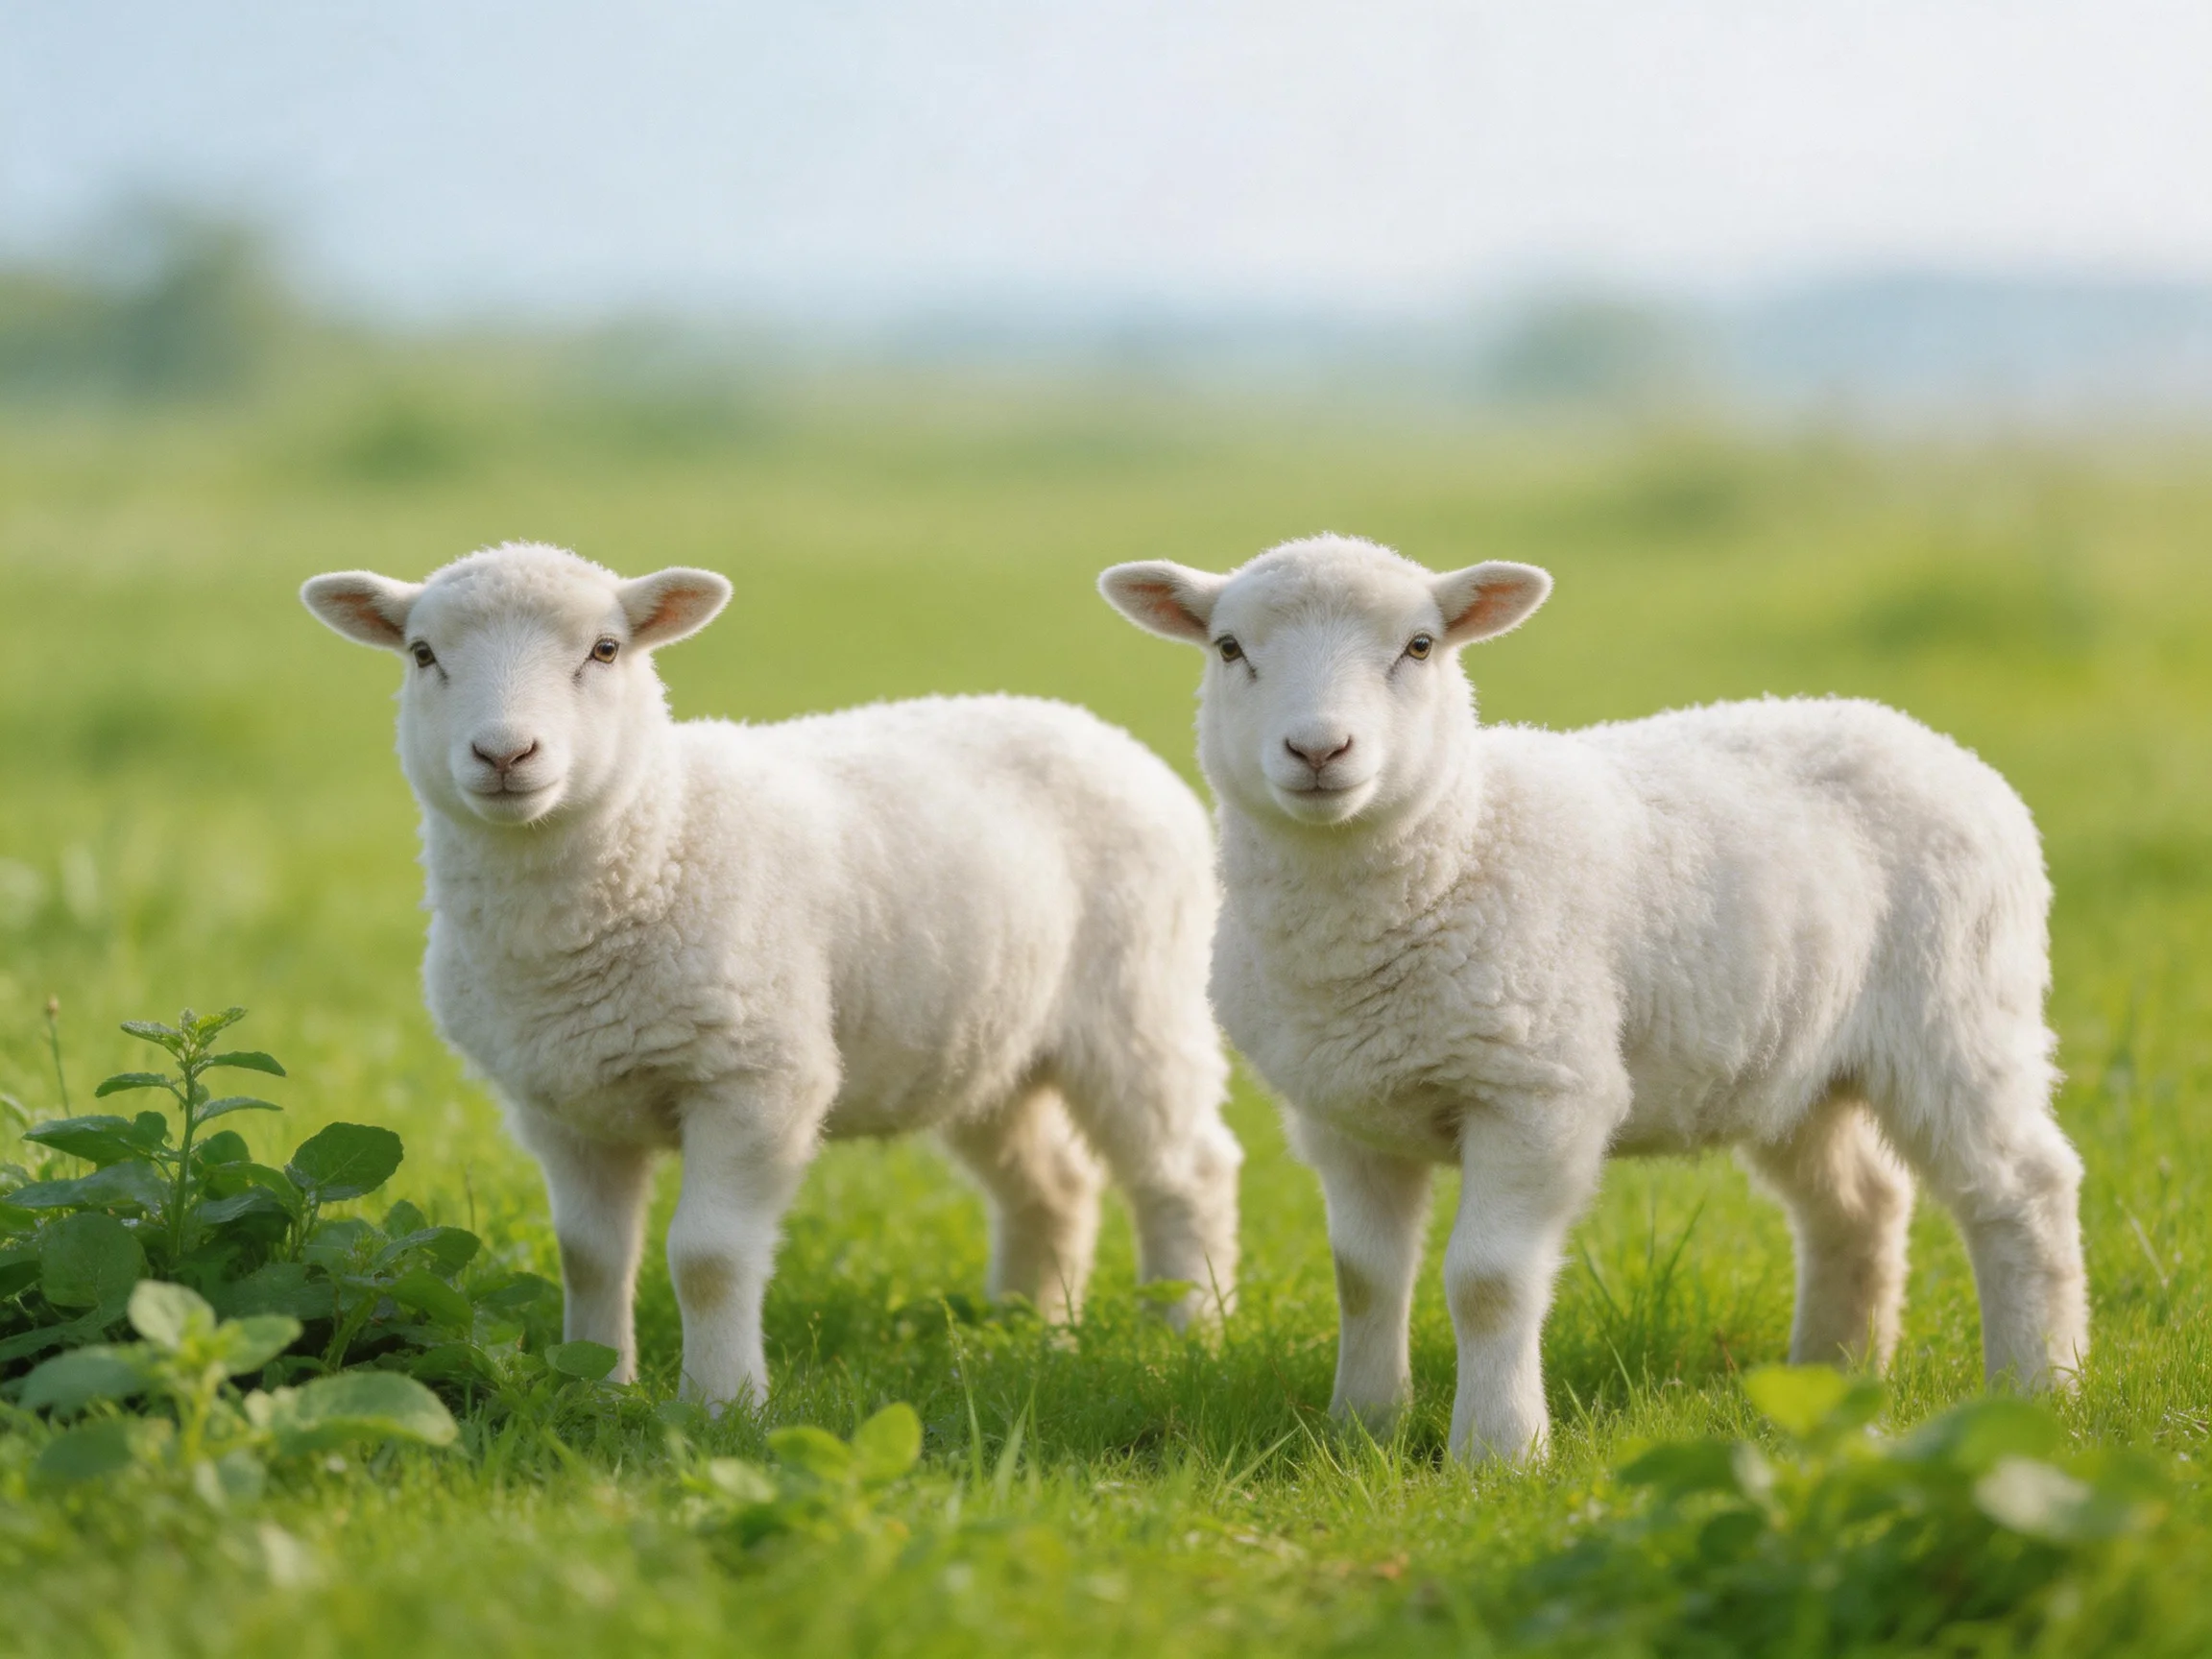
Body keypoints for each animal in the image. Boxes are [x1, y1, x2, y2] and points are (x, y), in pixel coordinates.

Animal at [301, 541, 1240, 1407]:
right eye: (423, 654)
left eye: (605, 650)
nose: (504, 753)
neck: (660, 834)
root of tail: (1083, 722)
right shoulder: (563, 1105)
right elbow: (590, 1258)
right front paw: (596, 1391)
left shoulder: (757, 1079)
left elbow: (708, 1257)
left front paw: (721, 1406)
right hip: (984, 1041)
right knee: (1053, 1185)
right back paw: (1024, 1327)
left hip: (1141, 1004)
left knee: (1185, 1170)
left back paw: (1183, 1329)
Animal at [1100, 533, 2088, 1463]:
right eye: (1229, 647)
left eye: (1419, 646)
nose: (1317, 750)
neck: (1456, 840)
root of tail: (1921, 736)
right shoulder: (1344, 1115)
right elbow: (1364, 1278)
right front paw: (1362, 1431)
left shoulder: (1540, 1095)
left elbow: (1488, 1282)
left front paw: (1497, 1452)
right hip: (1797, 1057)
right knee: (1858, 1203)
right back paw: (1831, 1376)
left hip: (1959, 1014)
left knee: (2023, 1189)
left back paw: (2040, 1383)